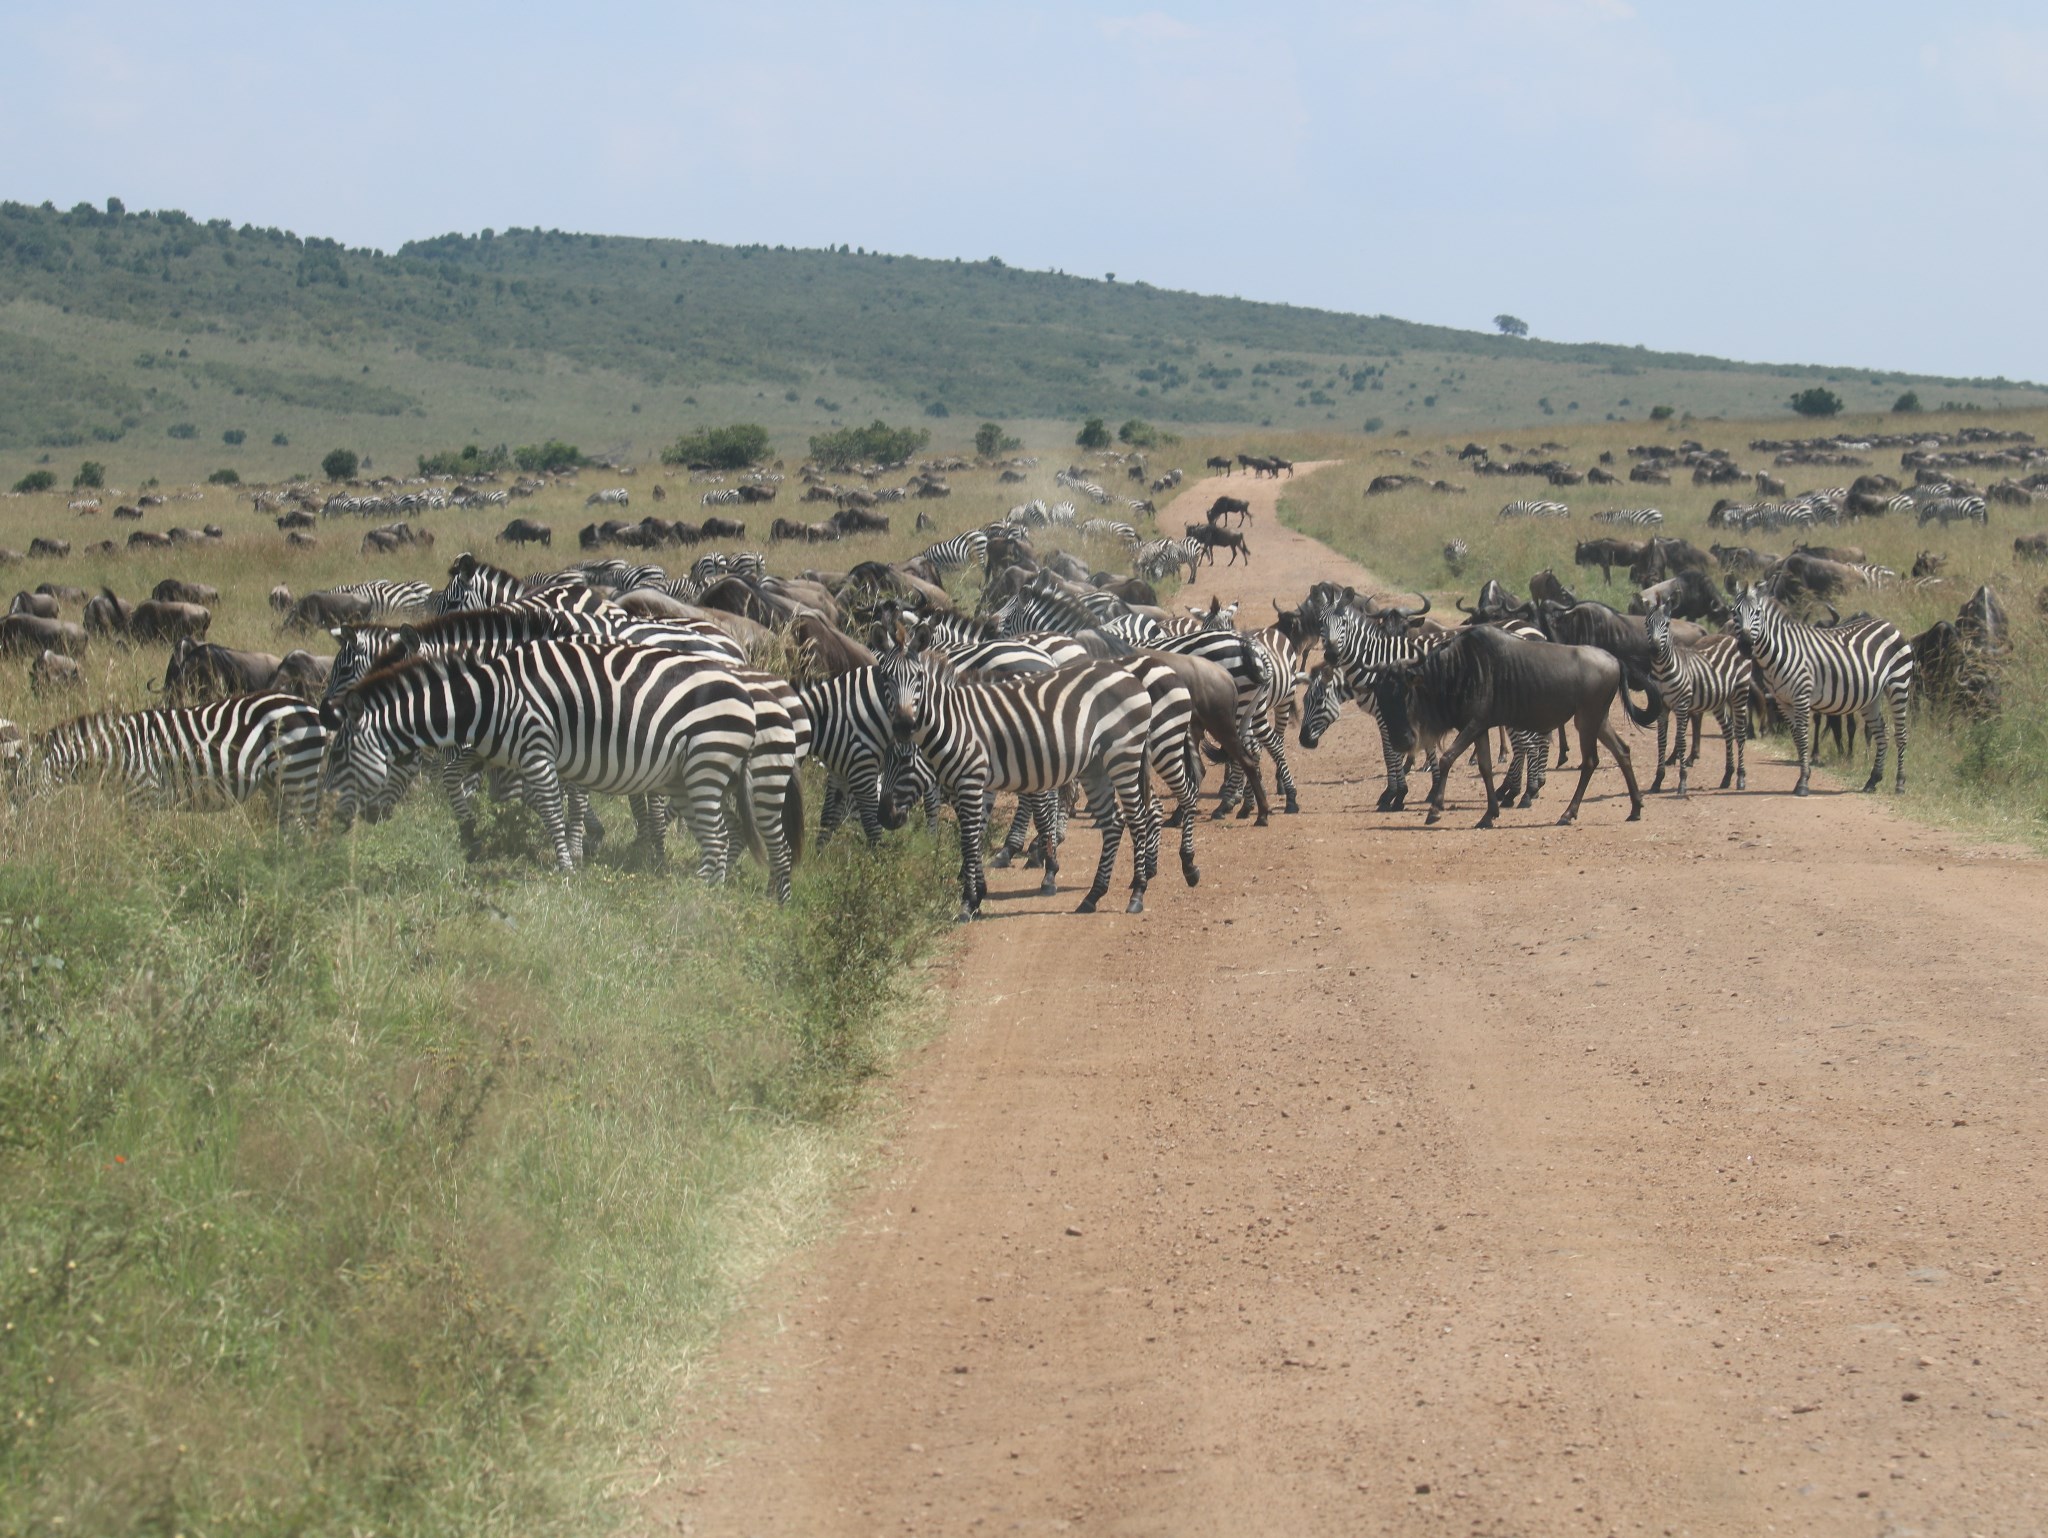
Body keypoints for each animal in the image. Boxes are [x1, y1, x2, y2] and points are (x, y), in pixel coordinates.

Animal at [28, 696, 325, 831]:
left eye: (23, 781)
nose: (23, 827)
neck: (115, 753)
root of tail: (309, 707)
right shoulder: (126, 802)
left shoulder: (142, 797)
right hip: (279, 785)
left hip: (298, 774)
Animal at [319, 638, 761, 876]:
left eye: (338, 754)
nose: (328, 821)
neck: (487, 699)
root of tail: (745, 694)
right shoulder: (492, 752)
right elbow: (454, 779)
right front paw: (471, 837)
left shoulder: (536, 749)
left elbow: (549, 807)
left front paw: (565, 863)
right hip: (694, 775)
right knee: (731, 827)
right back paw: (716, 881)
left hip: (705, 767)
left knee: (719, 832)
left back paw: (702, 888)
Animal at [876, 647, 1163, 921]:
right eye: (885, 759)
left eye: (905, 760)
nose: (885, 817)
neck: (956, 723)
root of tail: (1129, 676)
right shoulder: (975, 785)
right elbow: (977, 833)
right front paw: (978, 893)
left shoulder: (970, 781)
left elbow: (969, 838)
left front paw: (969, 902)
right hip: (1095, 767)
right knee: (1114, 822)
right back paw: (1093, 896)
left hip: (1123, 756)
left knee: (1137, 819)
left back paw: (1137, 892)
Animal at [1638, 602, 1753, 794]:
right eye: (1647, 623)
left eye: (1666, 625)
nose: (1654, 650)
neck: (1662, 671)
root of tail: (1730, 638)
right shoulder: (1662, 707)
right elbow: (1661, 741)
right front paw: (1657, 781)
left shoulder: (1682, 705)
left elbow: (1681, 740)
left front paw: (1682, 782)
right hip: (1718, 700)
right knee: (1728, 730)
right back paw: (1727, 777)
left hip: (1740, 692)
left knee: (1740, 733)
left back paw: (1741, 778)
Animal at [1736, 585, 1908, 798]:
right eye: (1735, 612)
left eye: (1757, 613)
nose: (1745, 646)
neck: (1782, 652)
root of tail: (1887, 624)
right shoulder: (1783, 701)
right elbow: (1797, 736)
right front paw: (1804, 776)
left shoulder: (1802, 696)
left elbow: (1803, 736)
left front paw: (1803, 782)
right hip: (1872, 697)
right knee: (1881, 732)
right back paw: (1872, 780)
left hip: (1899, 684)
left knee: (1901, 734)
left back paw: (1899, 783)